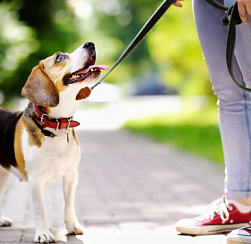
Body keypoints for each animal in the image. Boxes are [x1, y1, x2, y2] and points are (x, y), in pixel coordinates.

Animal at [0, 42, 109, 242]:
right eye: (59, 57)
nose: (90, 44)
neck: (56, 125)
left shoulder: (71, 175)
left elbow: (69, 204)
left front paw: (72, 226)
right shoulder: (36, 180)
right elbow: (40, 209)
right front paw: (44, 233)